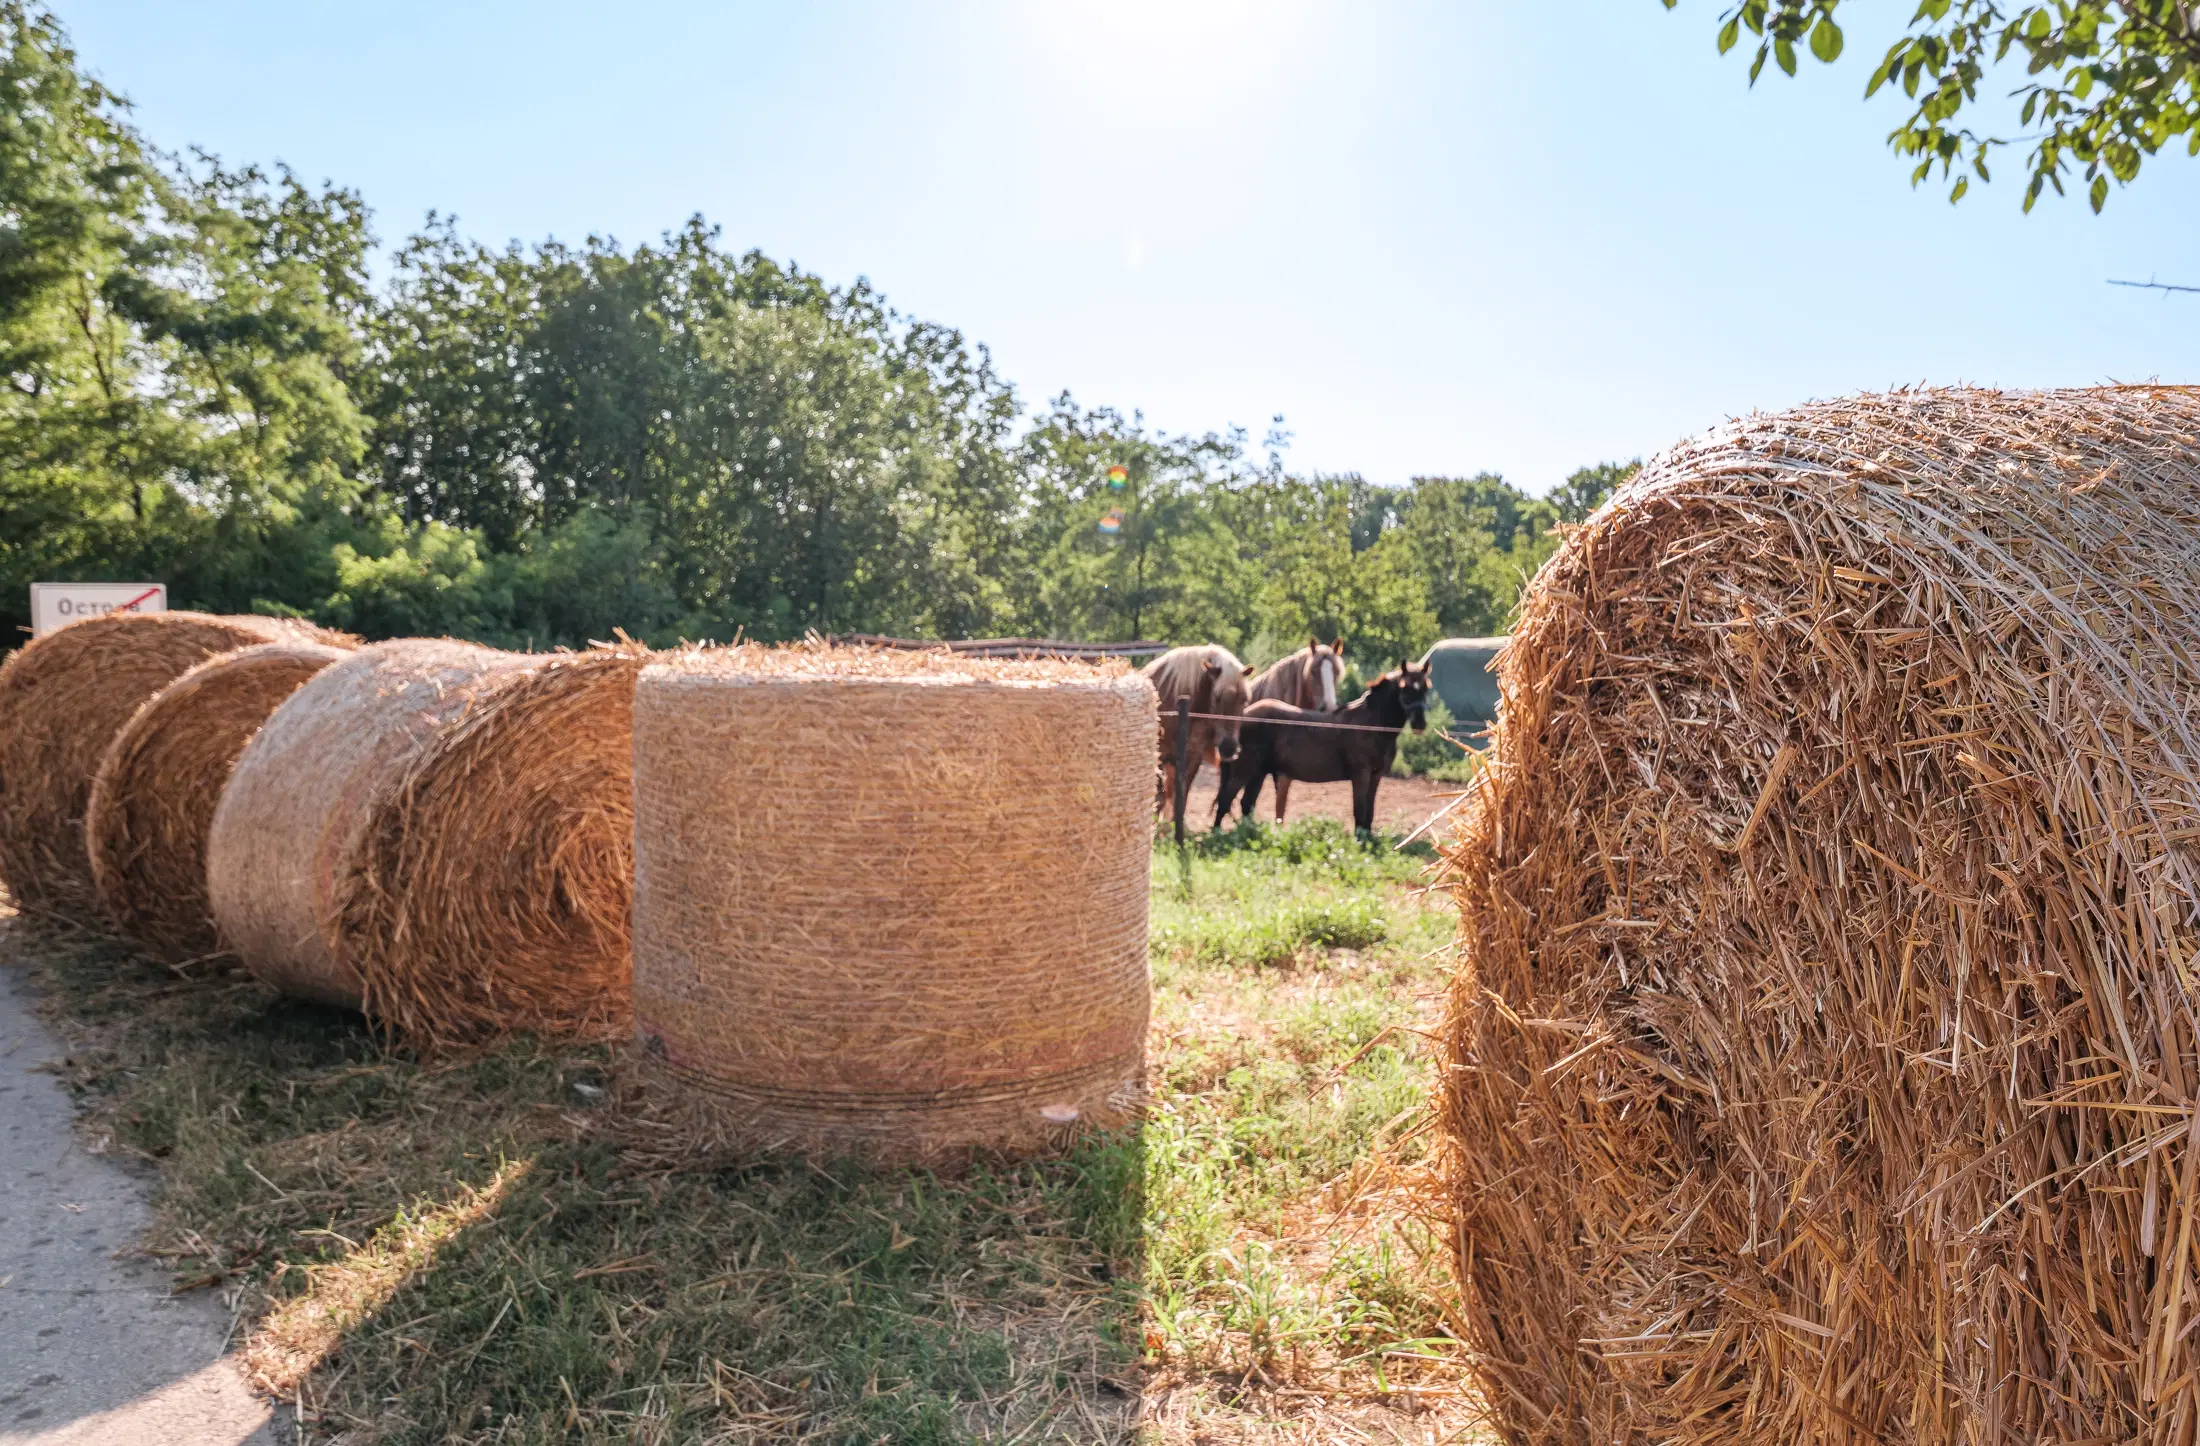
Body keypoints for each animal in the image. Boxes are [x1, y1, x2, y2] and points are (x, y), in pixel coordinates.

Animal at [1135, 642, 1258, 809]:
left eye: (1244, 699)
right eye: (1217, 697)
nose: (1229, 748)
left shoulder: (1192, 759)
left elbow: (1180, 800)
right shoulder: (1160, 756)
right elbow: (1158, 800)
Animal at [1214, 660, 1434, 827]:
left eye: (1425, 688)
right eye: (1404, 688)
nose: (1419, 724)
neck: (1371, 724)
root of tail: (1243, 716)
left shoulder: (1376, 776)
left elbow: (1369, 815)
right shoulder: (1361, 775)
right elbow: (1359, 812)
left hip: (1258, 773)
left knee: (1246, 804)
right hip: (1243, 771)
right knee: (1225, 802)